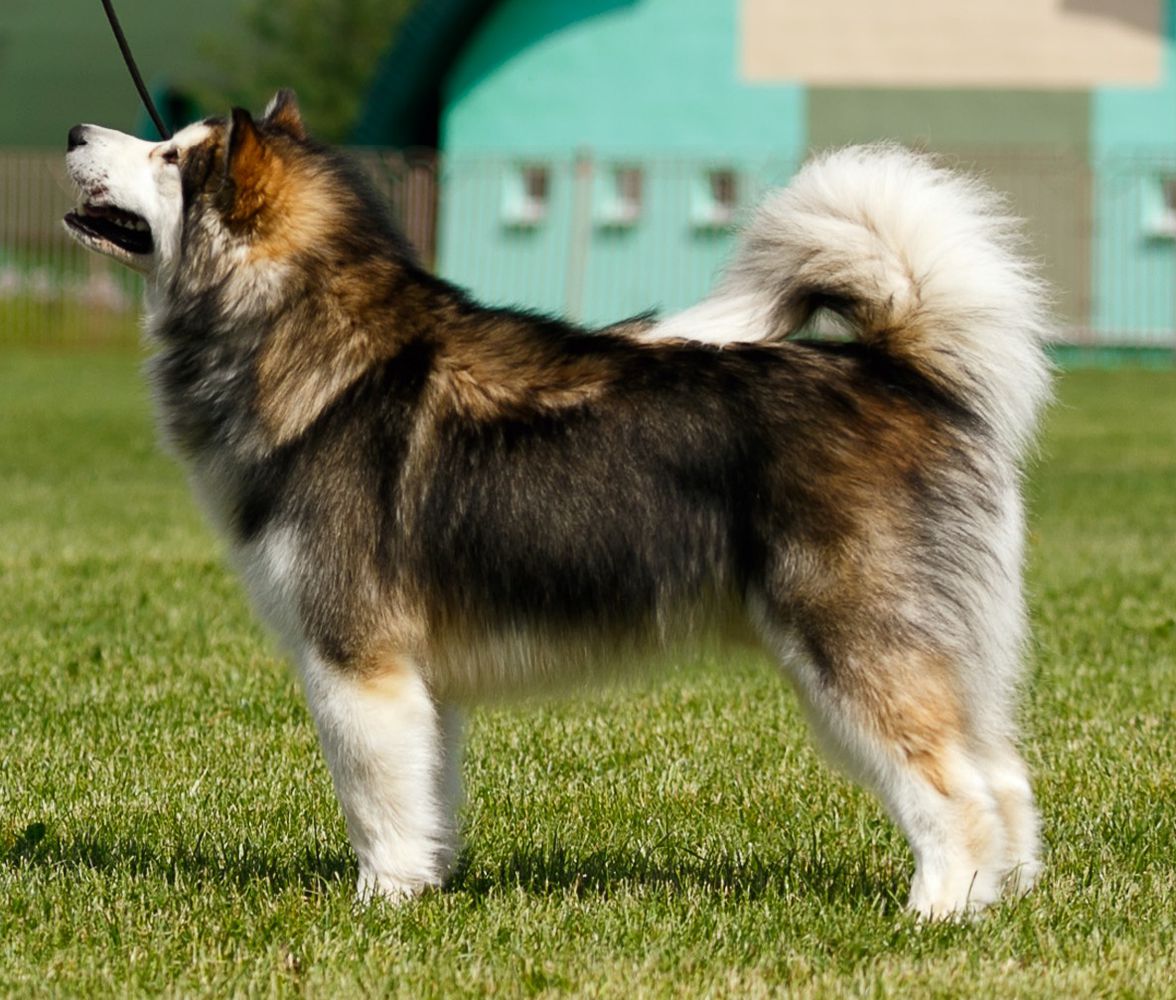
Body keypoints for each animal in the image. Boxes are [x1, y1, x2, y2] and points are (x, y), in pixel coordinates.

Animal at [64, 91, 1053, 912]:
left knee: (954, 790)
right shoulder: (421, 681)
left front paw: (377, 906)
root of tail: (903, 374)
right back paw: (1000, 906)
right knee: (1006, 781)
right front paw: (426, 888)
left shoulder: (355, 658)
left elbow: (375, 801)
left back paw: (934, 913)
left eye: (169, 156)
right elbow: (425, 794)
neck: (304, 343)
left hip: (853, 647)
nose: (75, 132)